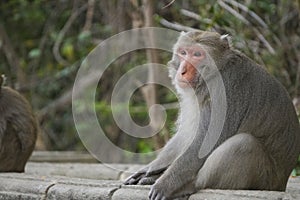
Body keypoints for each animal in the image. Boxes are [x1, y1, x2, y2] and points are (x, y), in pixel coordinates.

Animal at [125, 30, 300, 199]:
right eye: (183, 52)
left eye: (197, 54)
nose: (182, 71)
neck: (216, 71)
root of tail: (282, 183)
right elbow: (187, 133)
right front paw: (150, 168)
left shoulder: (223, 93)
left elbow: (206, 141)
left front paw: (166, 183)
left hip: (266, 179)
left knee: (244, 144)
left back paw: (188, 186)